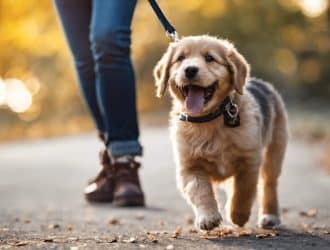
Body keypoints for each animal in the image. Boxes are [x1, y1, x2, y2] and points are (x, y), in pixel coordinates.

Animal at [153, 35, 288, 230]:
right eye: (180, 58)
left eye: (210, 58)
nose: (190, 70)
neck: (208, 120)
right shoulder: (190, 166)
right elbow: (200, 190)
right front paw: (208, 217)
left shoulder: (249, 161)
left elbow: (243, 191)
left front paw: (238, 216)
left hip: (274, 152)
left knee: (269, 184)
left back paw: (270, 215)